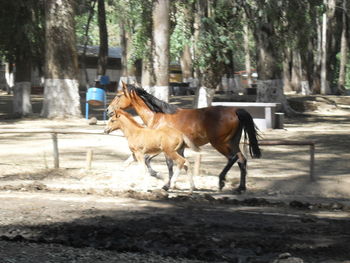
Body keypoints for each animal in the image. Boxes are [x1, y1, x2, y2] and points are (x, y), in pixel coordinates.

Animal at [106, 83, 260, 193]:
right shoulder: (173, 149)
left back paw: (221, 182)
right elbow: (174, 164)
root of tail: (236, 110)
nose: (108, 110)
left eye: (119, 95)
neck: (157, 116)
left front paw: (165, 183)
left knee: (232, 158)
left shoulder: (163, 149)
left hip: (219, 143)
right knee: (242, 160)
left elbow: (166, 165)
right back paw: (240, 188)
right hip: (232, 142)